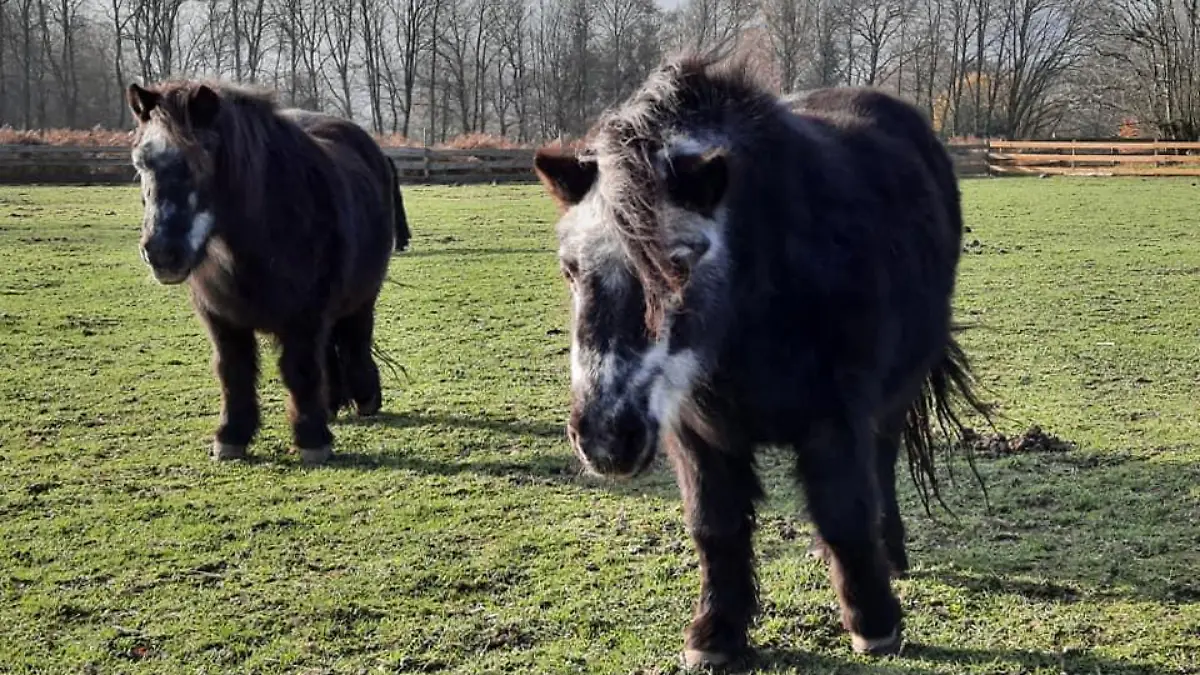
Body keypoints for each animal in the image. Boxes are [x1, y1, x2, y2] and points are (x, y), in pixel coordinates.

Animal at [125, 79, 408, 465]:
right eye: (141, 163)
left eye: (202, 159)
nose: (161, 253)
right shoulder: (221, 319)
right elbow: (234, 373)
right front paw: (231, 437)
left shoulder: (305, 317)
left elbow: (300, 370)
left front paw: (311, 439)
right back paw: (332, 403)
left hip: (363, 296)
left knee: (355, 338)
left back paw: (364, 398)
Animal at [533, 54, 991, 667]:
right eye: (570, 268)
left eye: (680, 265)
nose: (606, 438)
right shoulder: (694, 430)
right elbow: (715, 526)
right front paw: (716, 634)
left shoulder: (834, 419)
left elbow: (844, 511)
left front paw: (875, 623)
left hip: (893, 396)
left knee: (882, 464)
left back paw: (890, 554)